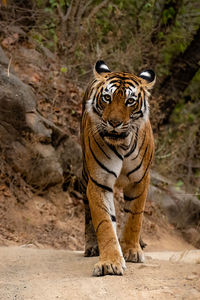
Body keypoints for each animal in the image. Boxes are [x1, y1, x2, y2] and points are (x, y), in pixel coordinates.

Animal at [80, 61, 155, 276]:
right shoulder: (99, 181)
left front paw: (131, 250)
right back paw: (92, 247)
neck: (122, 143)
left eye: (130, 101)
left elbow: (134, 218)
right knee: (88, 215)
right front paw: (110, 262)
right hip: (84, 175)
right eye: (107, 98)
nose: (114, 123)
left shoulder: (140, 181)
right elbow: (105, 223)